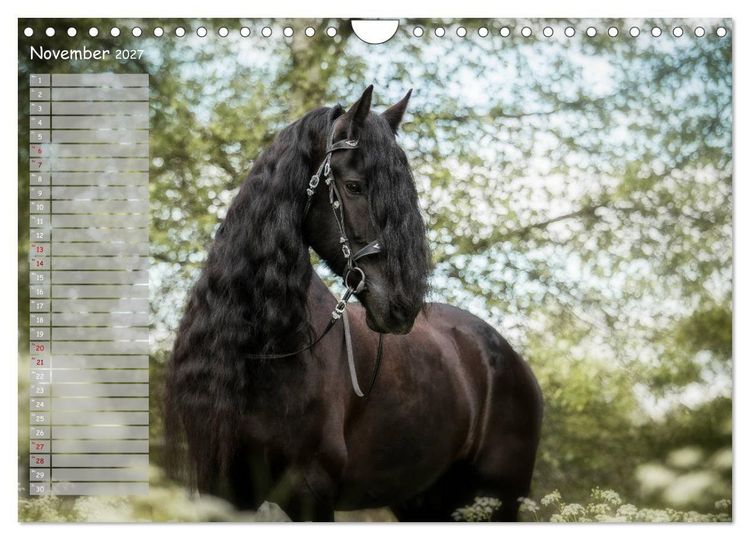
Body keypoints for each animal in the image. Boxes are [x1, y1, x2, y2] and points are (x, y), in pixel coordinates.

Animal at [164, 86, 543, 522]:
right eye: (354, 186)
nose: (401, 305)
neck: (263, 351)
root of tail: (512, 360)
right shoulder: (223, 489)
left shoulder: (311, 493)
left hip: (497, 500)